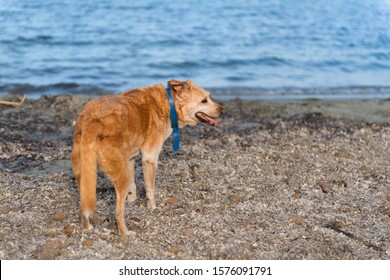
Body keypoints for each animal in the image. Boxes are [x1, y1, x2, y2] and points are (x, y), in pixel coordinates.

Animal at [70, 80, 222, 235]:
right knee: (118, 212)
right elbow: (150, 189)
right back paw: (125, 233)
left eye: (209, 97)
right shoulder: (150, 158)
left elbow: (133, 185)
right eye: (204, 100)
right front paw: (152, 207)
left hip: (85, 176)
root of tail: (92, 120)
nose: (222, 110)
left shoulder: (130, 159)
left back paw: (87, 227)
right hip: (119, 175)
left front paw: (132, 201)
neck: (168, 103)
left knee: (84, 205)